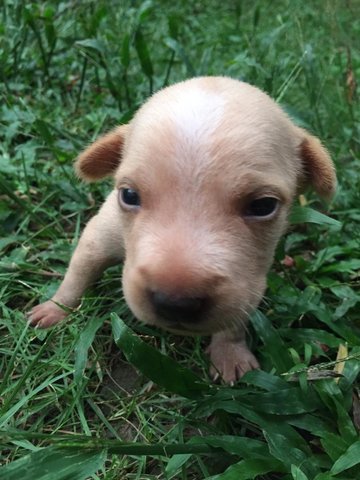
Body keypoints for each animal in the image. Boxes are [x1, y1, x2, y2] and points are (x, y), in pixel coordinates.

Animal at [26, 76, 336, 382]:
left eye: (263, 206)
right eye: (129, 195)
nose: (175, 303)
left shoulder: (246, 283)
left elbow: (236, 314)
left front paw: (230, 351)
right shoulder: (102, 233)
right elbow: (79, 270)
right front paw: (55, 308)